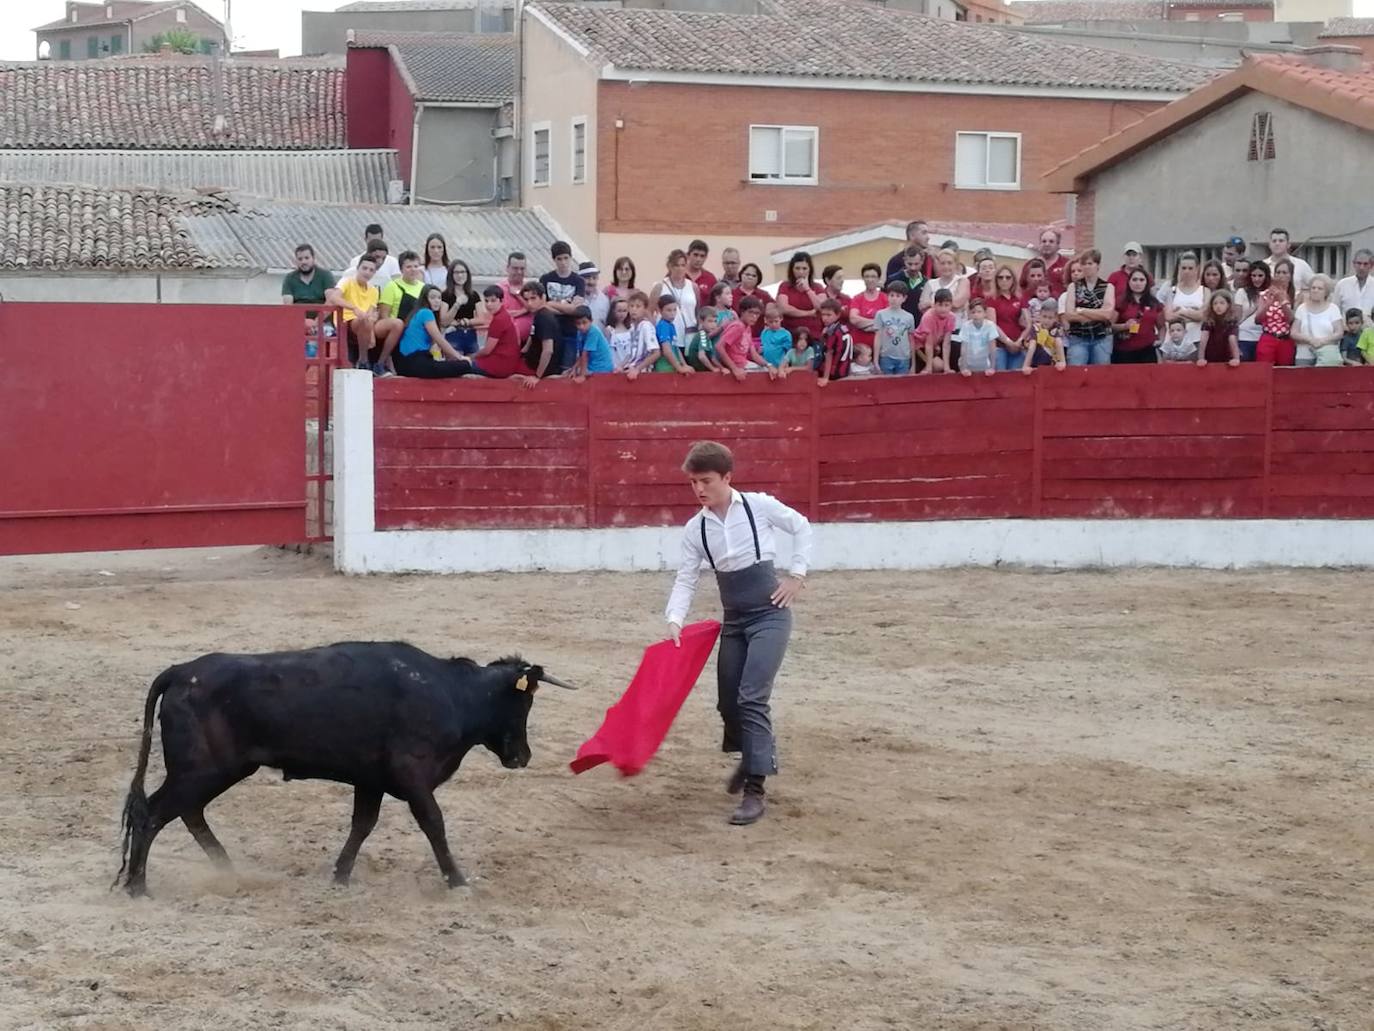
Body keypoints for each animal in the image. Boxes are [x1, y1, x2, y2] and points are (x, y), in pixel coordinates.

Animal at [111, 646, 574, 896]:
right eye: (524, 702)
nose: (523, 756)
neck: (451, 694)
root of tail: (181, 672)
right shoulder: (412, 776)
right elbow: (434, 823)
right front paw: (457, 881)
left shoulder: (371, 780)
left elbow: (362, 824)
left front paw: (340, 875)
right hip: (203, 770)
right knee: (153, 814)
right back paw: (138, 887)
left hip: (212, 771)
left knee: (186, 813)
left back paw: (227, 869)